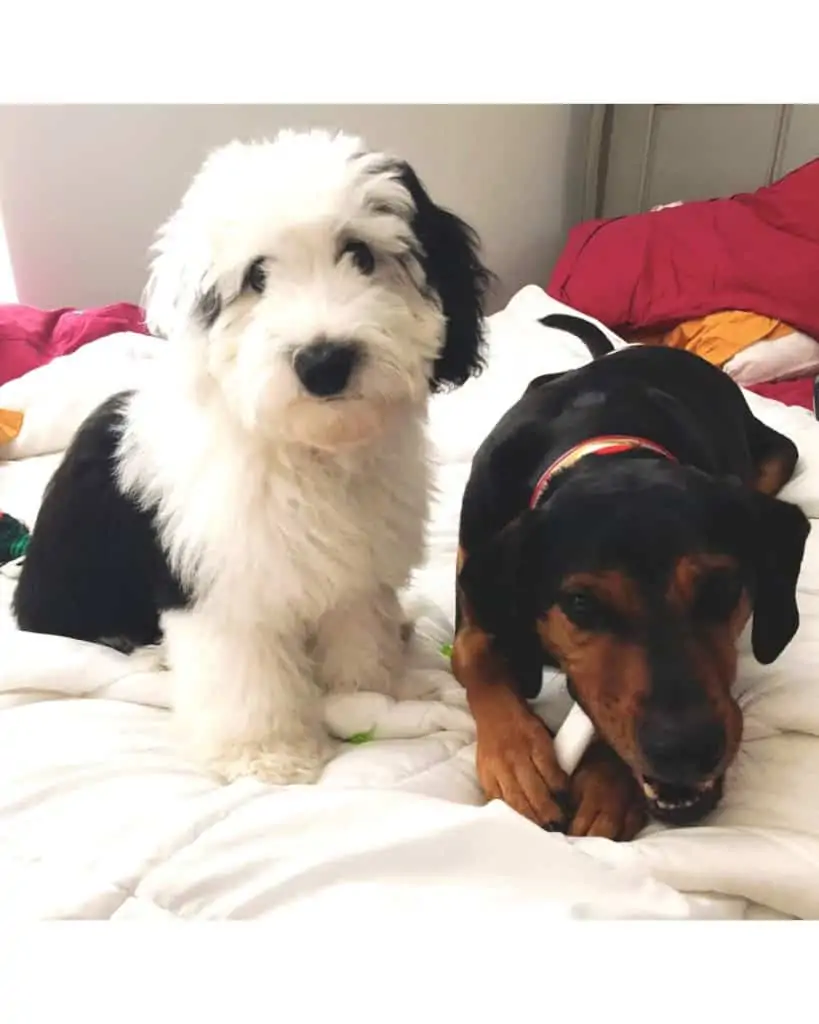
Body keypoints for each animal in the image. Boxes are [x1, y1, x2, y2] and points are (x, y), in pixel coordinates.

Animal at [14, 128, 493, 782]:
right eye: (257, 275)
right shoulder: (222, 584)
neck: (306, 449)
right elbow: (244, 674)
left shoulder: (355, 576)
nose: (324, 361)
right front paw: (267, 753)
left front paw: (367, 694)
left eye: (362, 254)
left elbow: (356, 637)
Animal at [454, 317, 810, 839]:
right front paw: (518, 755)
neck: (604, 444)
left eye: (722, 587)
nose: (686, 750)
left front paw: (608, 786)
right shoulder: (473, 568)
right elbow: (473, 650)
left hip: (777, 453)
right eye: (580, 604)